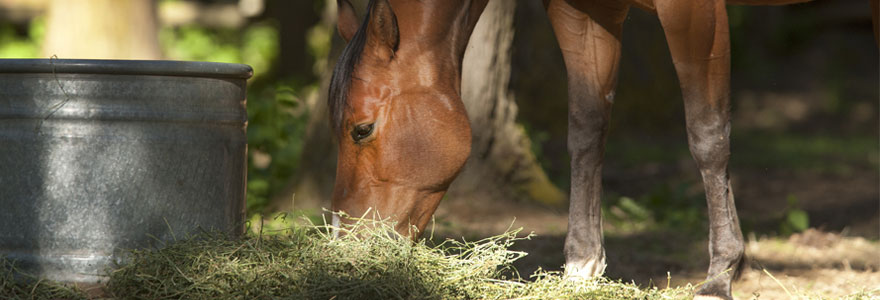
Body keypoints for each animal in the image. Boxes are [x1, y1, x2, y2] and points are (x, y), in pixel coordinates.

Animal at [326, 1, 876, 298]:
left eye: (362, 129)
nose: (344, 248)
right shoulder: (586, 11)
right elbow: (587, 130)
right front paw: (581, 268)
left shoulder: (694, 12)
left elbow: (707, 134)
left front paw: (720, 276)